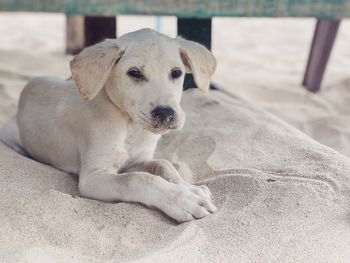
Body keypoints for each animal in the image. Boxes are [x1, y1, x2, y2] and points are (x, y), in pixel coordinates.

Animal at [9, 28, 217, 223]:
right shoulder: (92, 177)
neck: (130, 127)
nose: (166, 113)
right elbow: (138, 179)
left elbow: (163, 165)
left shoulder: (137, 161)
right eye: (135, 73)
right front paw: (182, 200)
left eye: (176, 73)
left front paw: (189, 188)